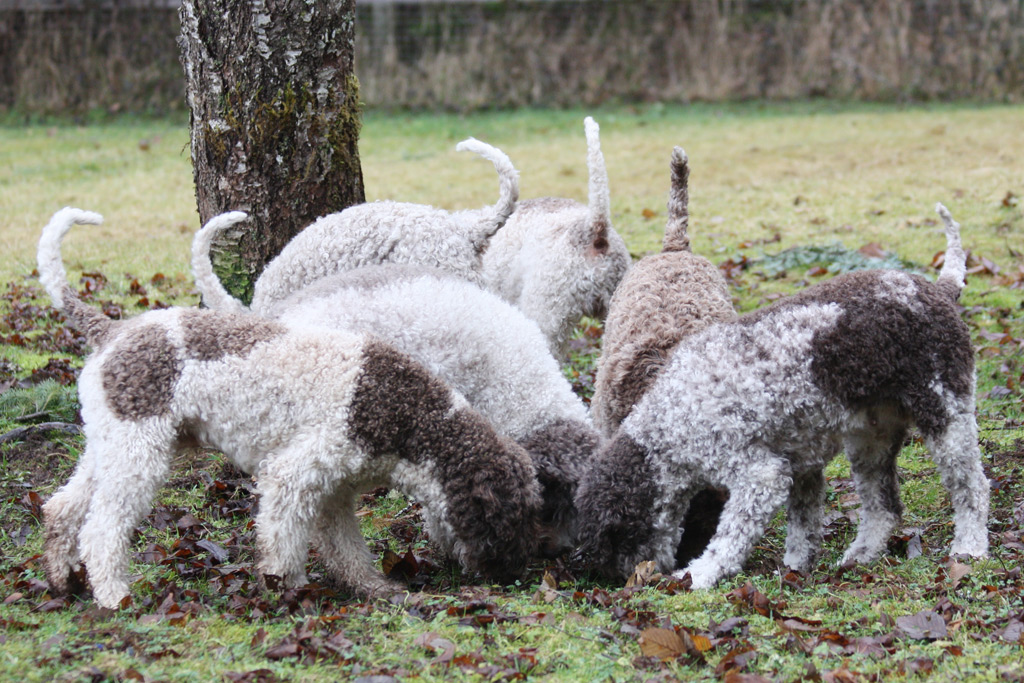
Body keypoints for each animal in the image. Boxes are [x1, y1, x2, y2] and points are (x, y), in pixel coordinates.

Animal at [38, 206, 540, 610]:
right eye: (506, 518)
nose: (513, 577)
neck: (412, 416)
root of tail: (110, 329)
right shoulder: (293, 475)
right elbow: (283, 541)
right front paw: (289, 591)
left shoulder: (335, 489)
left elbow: (347, 548)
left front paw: (374, 589)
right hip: (139, 452)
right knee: (101, 529)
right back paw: (113, 596)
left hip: (114, 444)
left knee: (62, 507)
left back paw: (63, 580)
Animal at [573, 202, 987, 589]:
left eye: (613, 536)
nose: (626, 579)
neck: (668, 420)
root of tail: (938, 290)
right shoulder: (801, 463)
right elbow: (803, 526)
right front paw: (794, 568)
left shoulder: (760, 474)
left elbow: (731, 536)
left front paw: (700, 574)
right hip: (872, 437)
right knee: (883, 508)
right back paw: (861, 555)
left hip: (945, 412)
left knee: (973, 489)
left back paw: (970, 547)